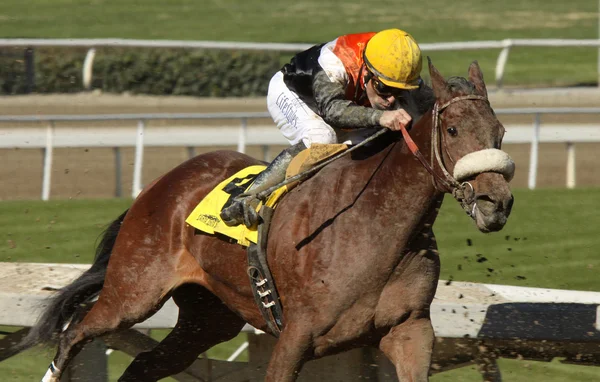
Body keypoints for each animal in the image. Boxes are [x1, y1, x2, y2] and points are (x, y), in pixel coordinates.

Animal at [25, 57, 510, 382]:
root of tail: (160, 185)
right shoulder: (296, 334)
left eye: (500, 132)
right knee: (74, 334)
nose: (496, 203)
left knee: (144, 365)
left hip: (207, 317)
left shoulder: (409, 330)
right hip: (133, 291)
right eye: (452, 130)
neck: (378, 227)